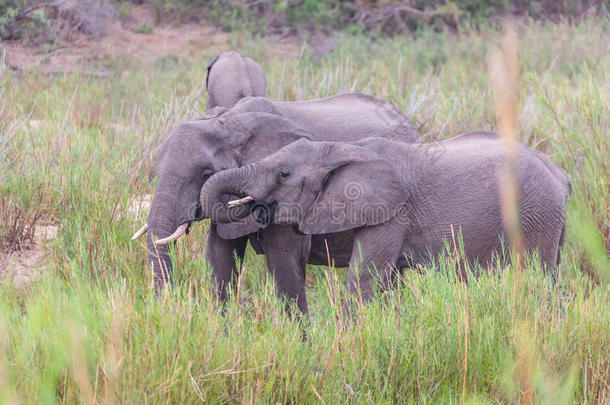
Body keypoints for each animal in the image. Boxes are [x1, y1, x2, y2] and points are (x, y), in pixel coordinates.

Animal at [201, 131, 568, 308]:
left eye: (283, 173)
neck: (340, 148)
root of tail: (559, 175)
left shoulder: (392, 214)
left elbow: (364, 279)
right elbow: (388, 283)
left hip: (537, 215)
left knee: (536, 278)